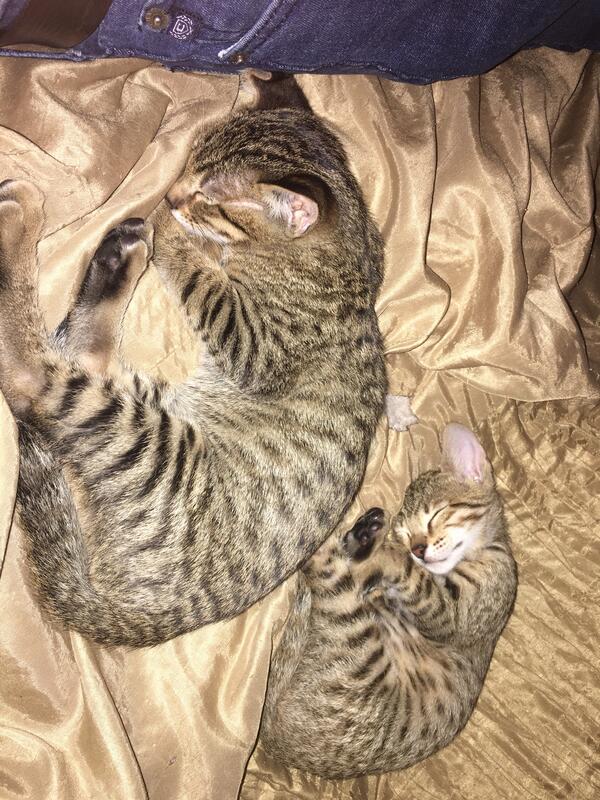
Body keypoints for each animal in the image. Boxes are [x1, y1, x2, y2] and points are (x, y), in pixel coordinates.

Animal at [0, 75, 387, 647]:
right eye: (189, 163)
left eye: (209, 195)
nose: (172, 193)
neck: (348, 252)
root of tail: (152, 612)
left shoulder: (254, 342)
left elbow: (202, 278)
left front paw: (169, 225)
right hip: (152, 401)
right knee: (83, 356)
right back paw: (118, 257)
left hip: (148, 441)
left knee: (32, 380)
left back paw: (24, 218)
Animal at [259, 424, 518, 778]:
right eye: (407, 534)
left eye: (435, 515)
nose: (418, 549)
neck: (487, 549)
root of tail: (272, 739)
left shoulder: (454, 613)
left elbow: (406, 572)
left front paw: (383, 554)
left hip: (355, 640)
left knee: (322, 563)